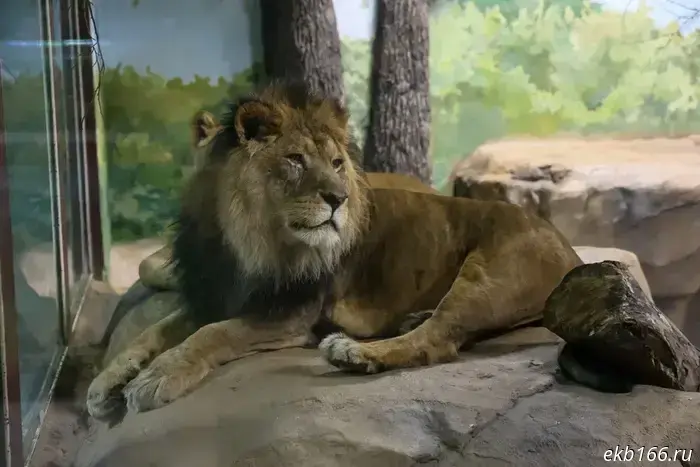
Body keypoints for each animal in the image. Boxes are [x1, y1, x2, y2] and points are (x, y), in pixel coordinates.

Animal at [86, 83, 581, 418]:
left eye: (338, 164)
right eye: (295, 160)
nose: (339, 198)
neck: (241, 240)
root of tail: (569, 249)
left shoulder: (290, 312)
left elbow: (212, 334)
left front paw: (156, 378)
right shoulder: (213, 294)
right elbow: (153, 333)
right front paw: (106, 381)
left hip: (486, 275)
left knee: (438, 340)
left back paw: (353, 352)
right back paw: (410, 318)